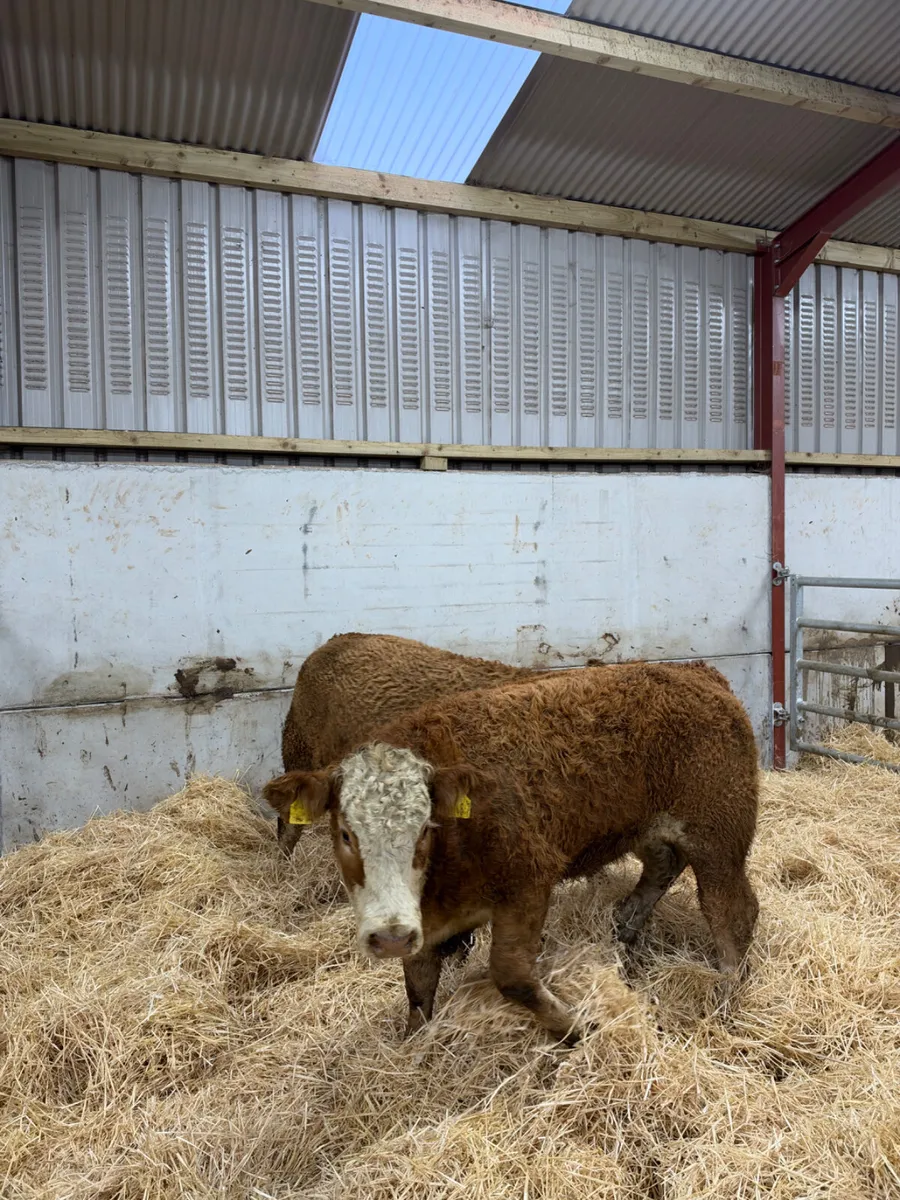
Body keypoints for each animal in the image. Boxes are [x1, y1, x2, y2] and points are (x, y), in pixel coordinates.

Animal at [263, 662, 759, 1046]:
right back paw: (624, 932)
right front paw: (414, 1046)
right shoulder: (419, 922)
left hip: (719, 835)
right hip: (645, 828)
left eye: (425, 828)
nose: (387, 937)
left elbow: (511, 975)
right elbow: (418, 986)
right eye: (346, 833)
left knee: (732, 911)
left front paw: (573, 1028)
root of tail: (697, 671)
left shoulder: (527, 884)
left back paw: (727, 994)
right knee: (662, 867)